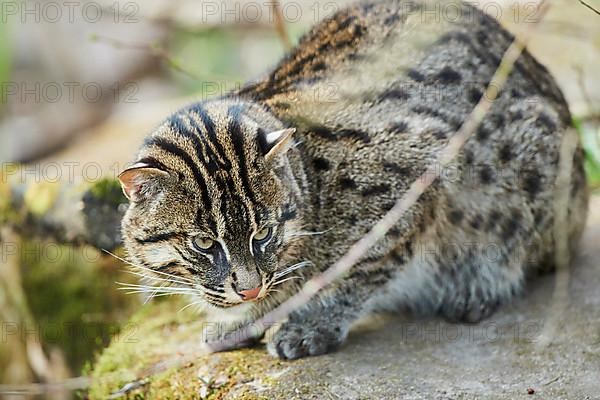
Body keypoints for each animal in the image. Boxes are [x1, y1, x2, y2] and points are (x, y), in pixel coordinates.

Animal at [117, 0, 584, 360]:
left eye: (263, 233)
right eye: (203, 243)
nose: (248, 292)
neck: (311, 183)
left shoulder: (421, 168)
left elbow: (362, 267)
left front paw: (311, 322)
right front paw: (248, 315)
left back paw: (478, 286)